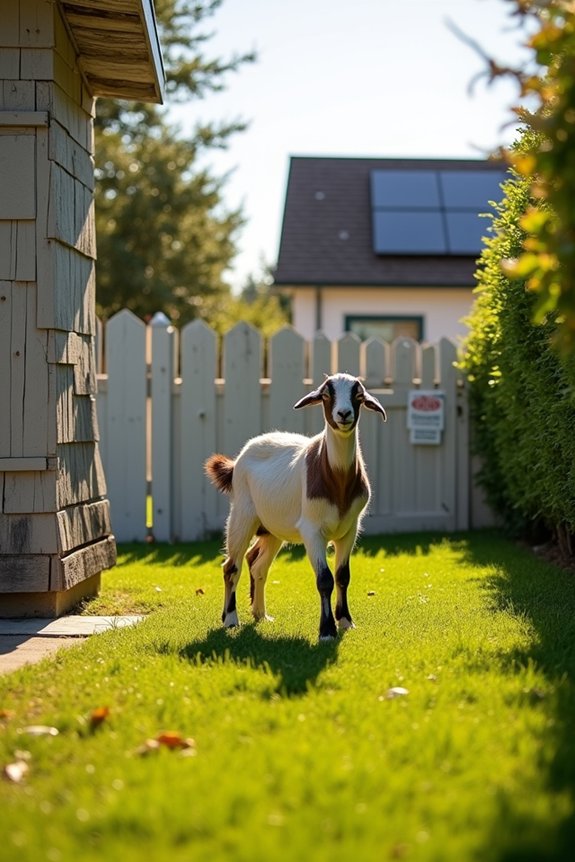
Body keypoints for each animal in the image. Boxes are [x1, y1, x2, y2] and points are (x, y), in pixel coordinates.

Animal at [204, 373, 387, 640]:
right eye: (326, 395)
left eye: (359, 395)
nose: (343, 414)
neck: (337, 479)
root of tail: (236, 462)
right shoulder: (312, 531)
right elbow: (324, 579)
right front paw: (327, 631)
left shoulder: (350, 529)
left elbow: (343, 576)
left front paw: (345, 621)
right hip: (242, 513)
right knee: (231, 566)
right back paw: (230, 619)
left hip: (272, 528)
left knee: (258, 565)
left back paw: (261, 614)